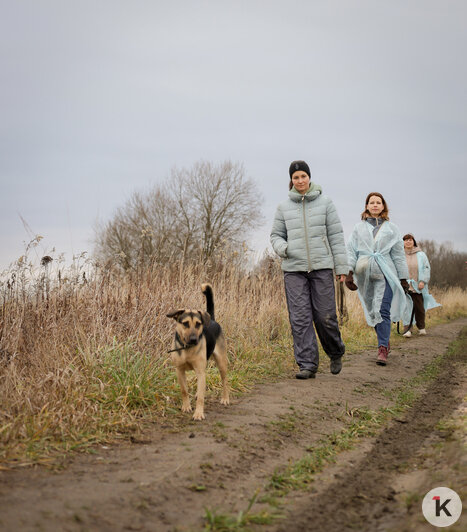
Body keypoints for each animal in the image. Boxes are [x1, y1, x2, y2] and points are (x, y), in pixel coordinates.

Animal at [167, 282, 229, 420]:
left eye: (198, 324)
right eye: (185, 323)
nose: (194, 339)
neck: (187, 348)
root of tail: (212, 320)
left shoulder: (200, 371)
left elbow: (201, 397)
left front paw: (199, 413)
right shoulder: (179, 370)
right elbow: (184, 390)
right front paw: (186, 407)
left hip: (221, 363)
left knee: (224, 380)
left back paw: (225, 398)